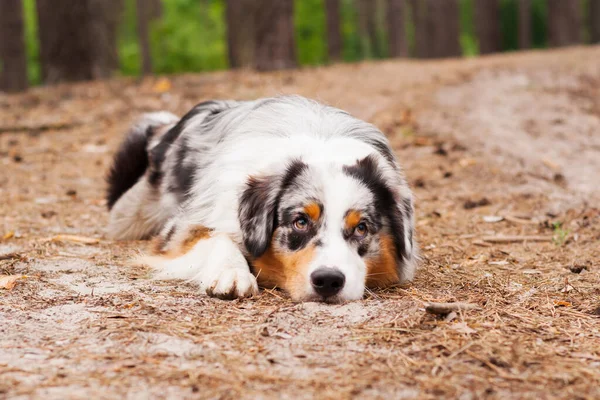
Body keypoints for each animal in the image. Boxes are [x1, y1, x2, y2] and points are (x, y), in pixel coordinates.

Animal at [105, 96, 418, 304]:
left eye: (362, 227)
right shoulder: (181, 228)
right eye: (300, 221)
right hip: (130, 216)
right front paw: (232, 274)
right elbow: (217, 237)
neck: (322, 148)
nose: (328, 280)